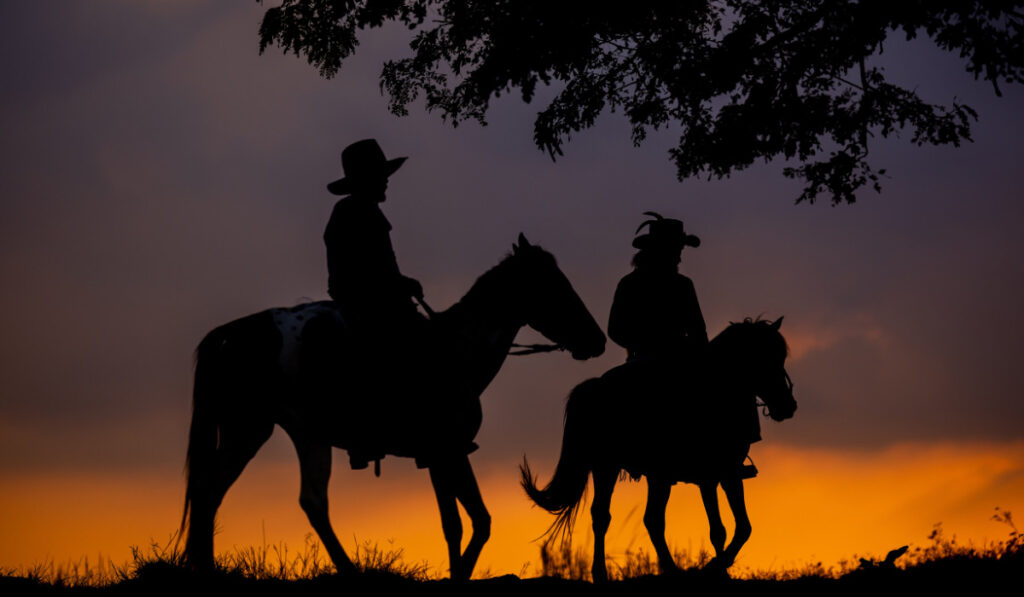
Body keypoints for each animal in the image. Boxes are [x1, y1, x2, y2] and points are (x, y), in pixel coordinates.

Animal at [182, 235, 606, 581]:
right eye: (555, 285)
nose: (597, 339)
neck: (456, 351)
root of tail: (231, 334)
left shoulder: (443, 455)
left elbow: (467, 521)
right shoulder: (446, 451)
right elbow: (465, 523)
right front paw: (459, 575)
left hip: (265, 431)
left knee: (219, 491)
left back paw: (208, 569)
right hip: (282, 431)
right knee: (297, 500)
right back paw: (348, 571)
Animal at [524, 319, 794, 581]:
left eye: (781, 357)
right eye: (762, 358)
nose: (787, 406)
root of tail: (596, 387)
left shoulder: (723, 475)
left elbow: (738, 527)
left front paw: (719, 569)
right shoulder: (714, 474)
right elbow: (725, 529)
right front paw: (714, 568)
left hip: (635, 473)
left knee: (627, 517)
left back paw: (636, 571)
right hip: (623, 469)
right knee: (624, 517)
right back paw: (638, 571)